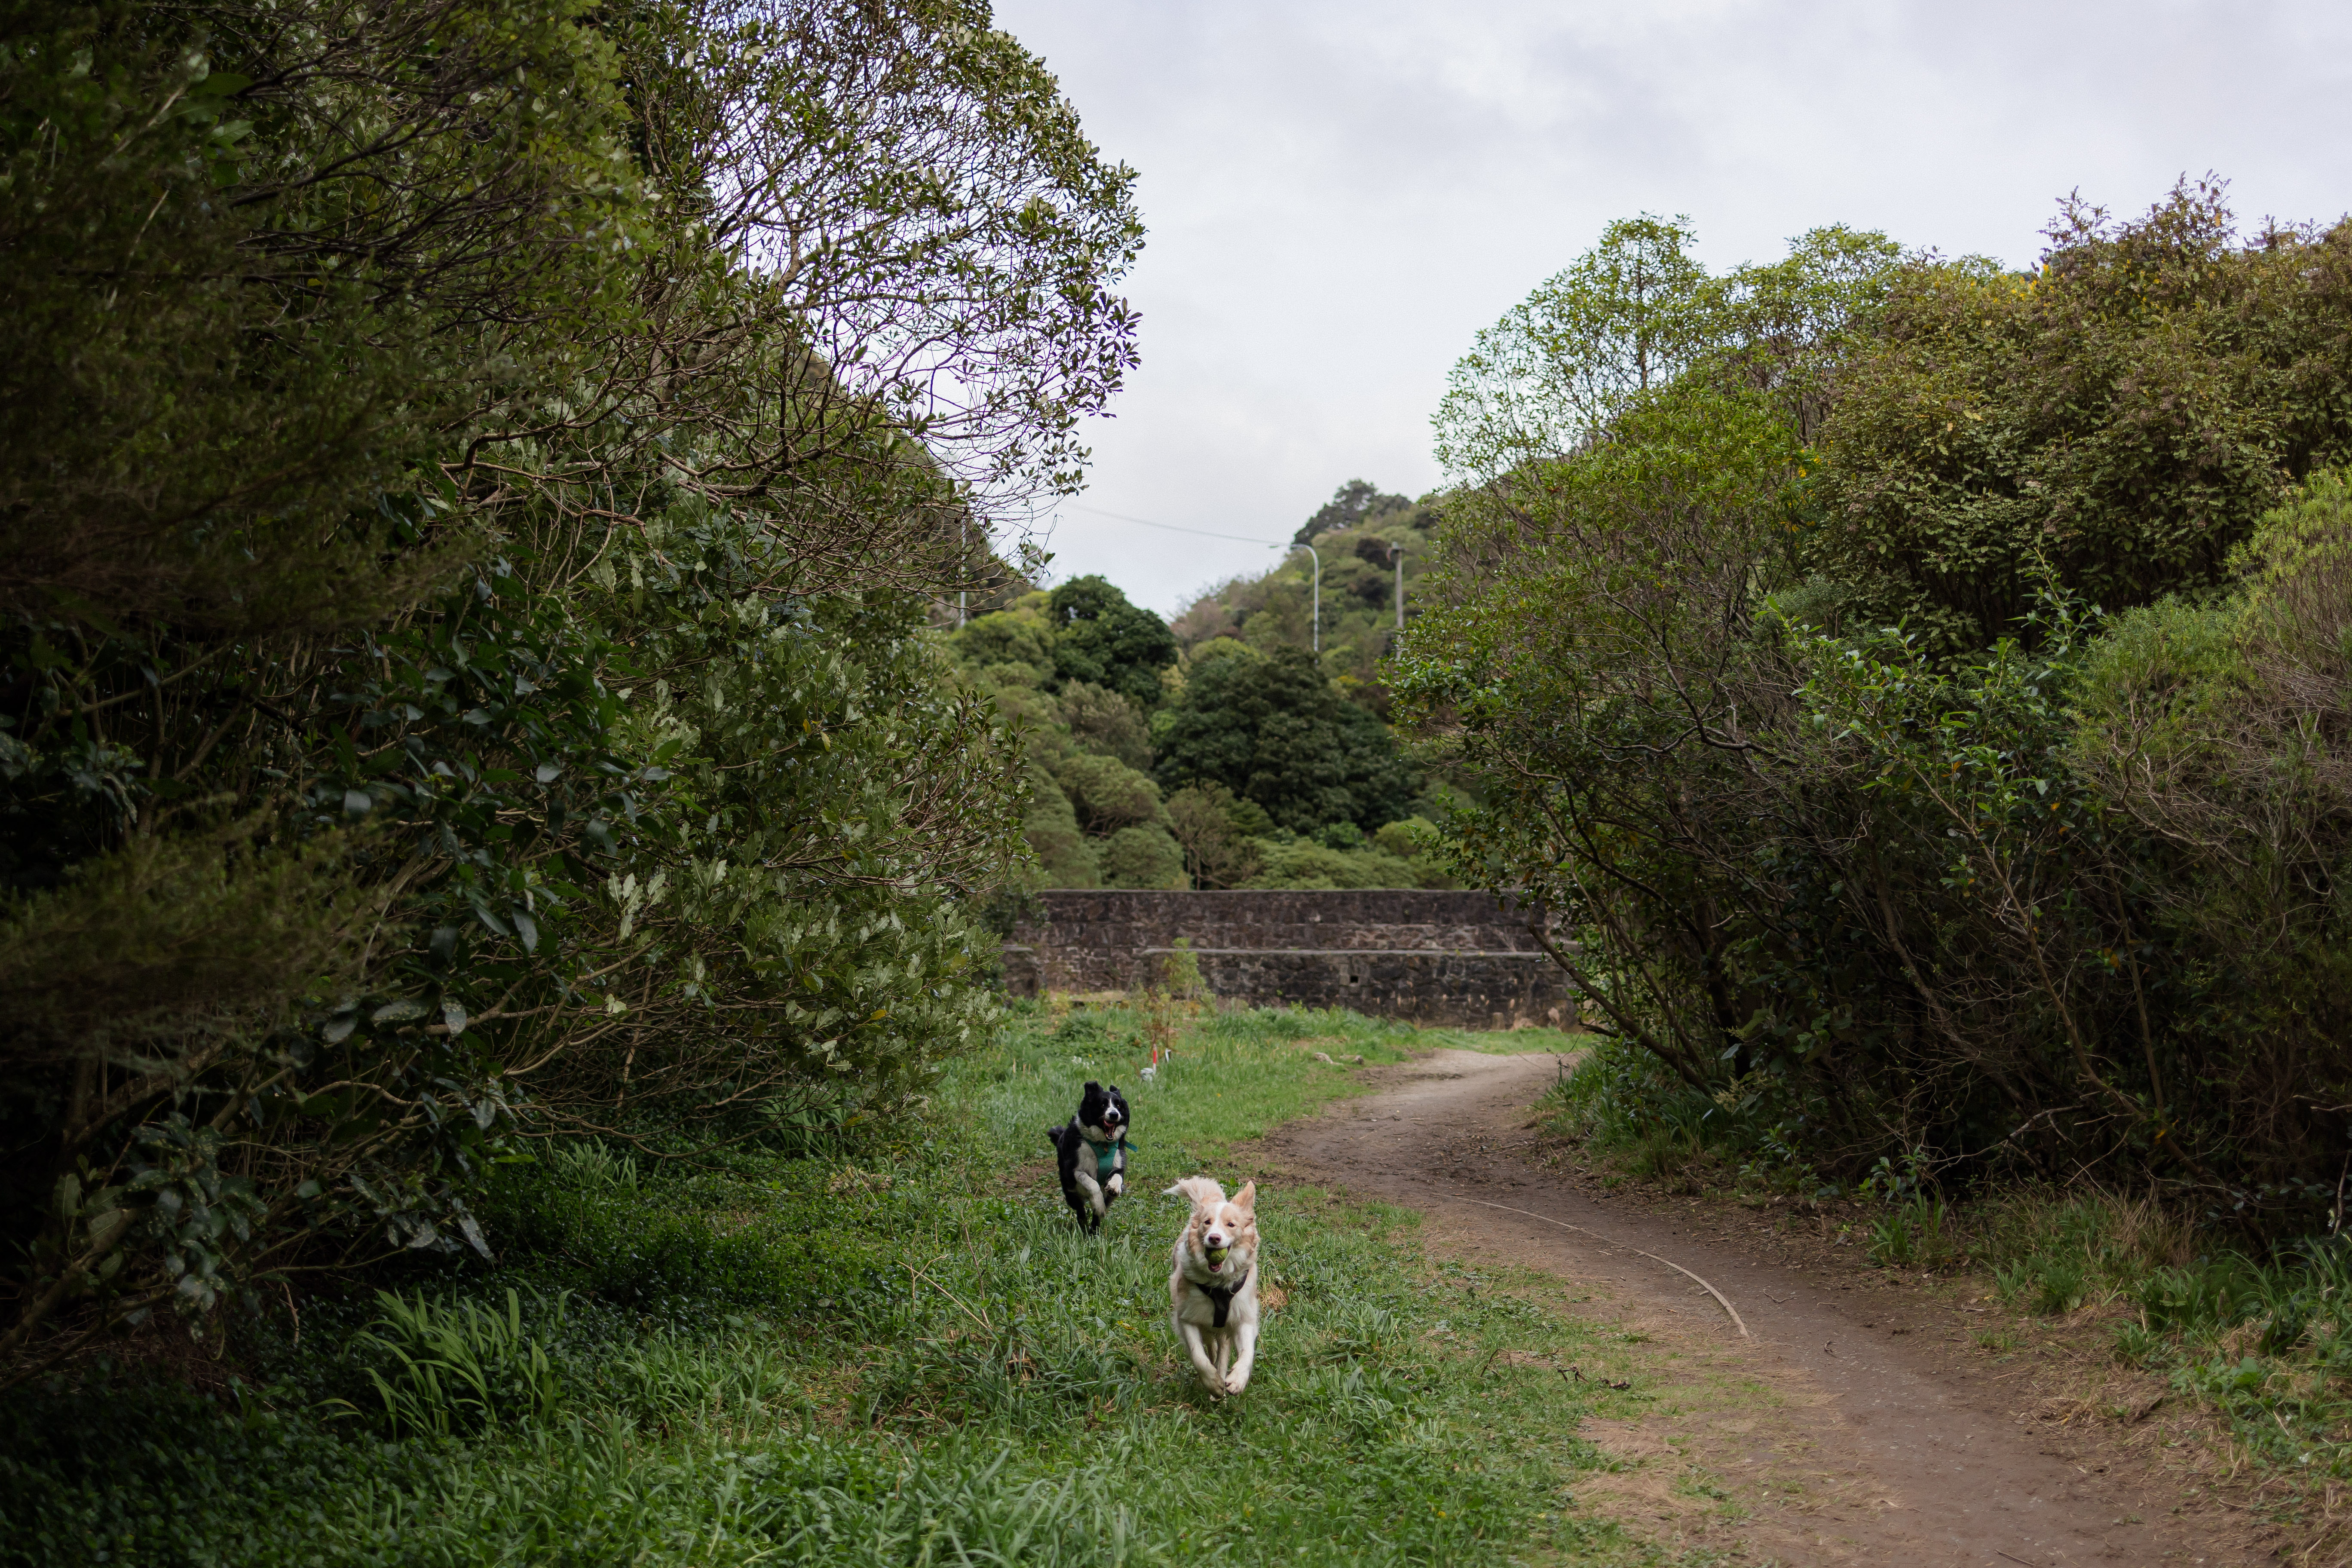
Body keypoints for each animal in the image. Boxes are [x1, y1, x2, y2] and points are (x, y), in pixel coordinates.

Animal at [1049, 1086, 1129, 1231]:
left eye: (1119, 1105)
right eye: (1103, 1105)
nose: (1114, 1115)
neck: (1102, 1144)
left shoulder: (1119, 1162)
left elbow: (1118, 1176)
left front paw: (1114, 1188)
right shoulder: (1073, 1170)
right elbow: (1092, 1183)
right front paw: (1098, 1204)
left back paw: (1094, 1230)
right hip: (1070, 1192)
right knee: (1080, 1209)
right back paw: (1084, 1226)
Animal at [1162, 1175, 1260, 1401]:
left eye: (1231, 1225)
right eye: (1207, 1223)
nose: (1214, 1238)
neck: (1218, 1282)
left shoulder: (1243, 1315)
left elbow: (1248, 1352)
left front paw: (1237, 1380)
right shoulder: (1189, 1316)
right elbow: (1198, 1355)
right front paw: (1213, 1383)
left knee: (1222, 1350)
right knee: (1212, 1347)